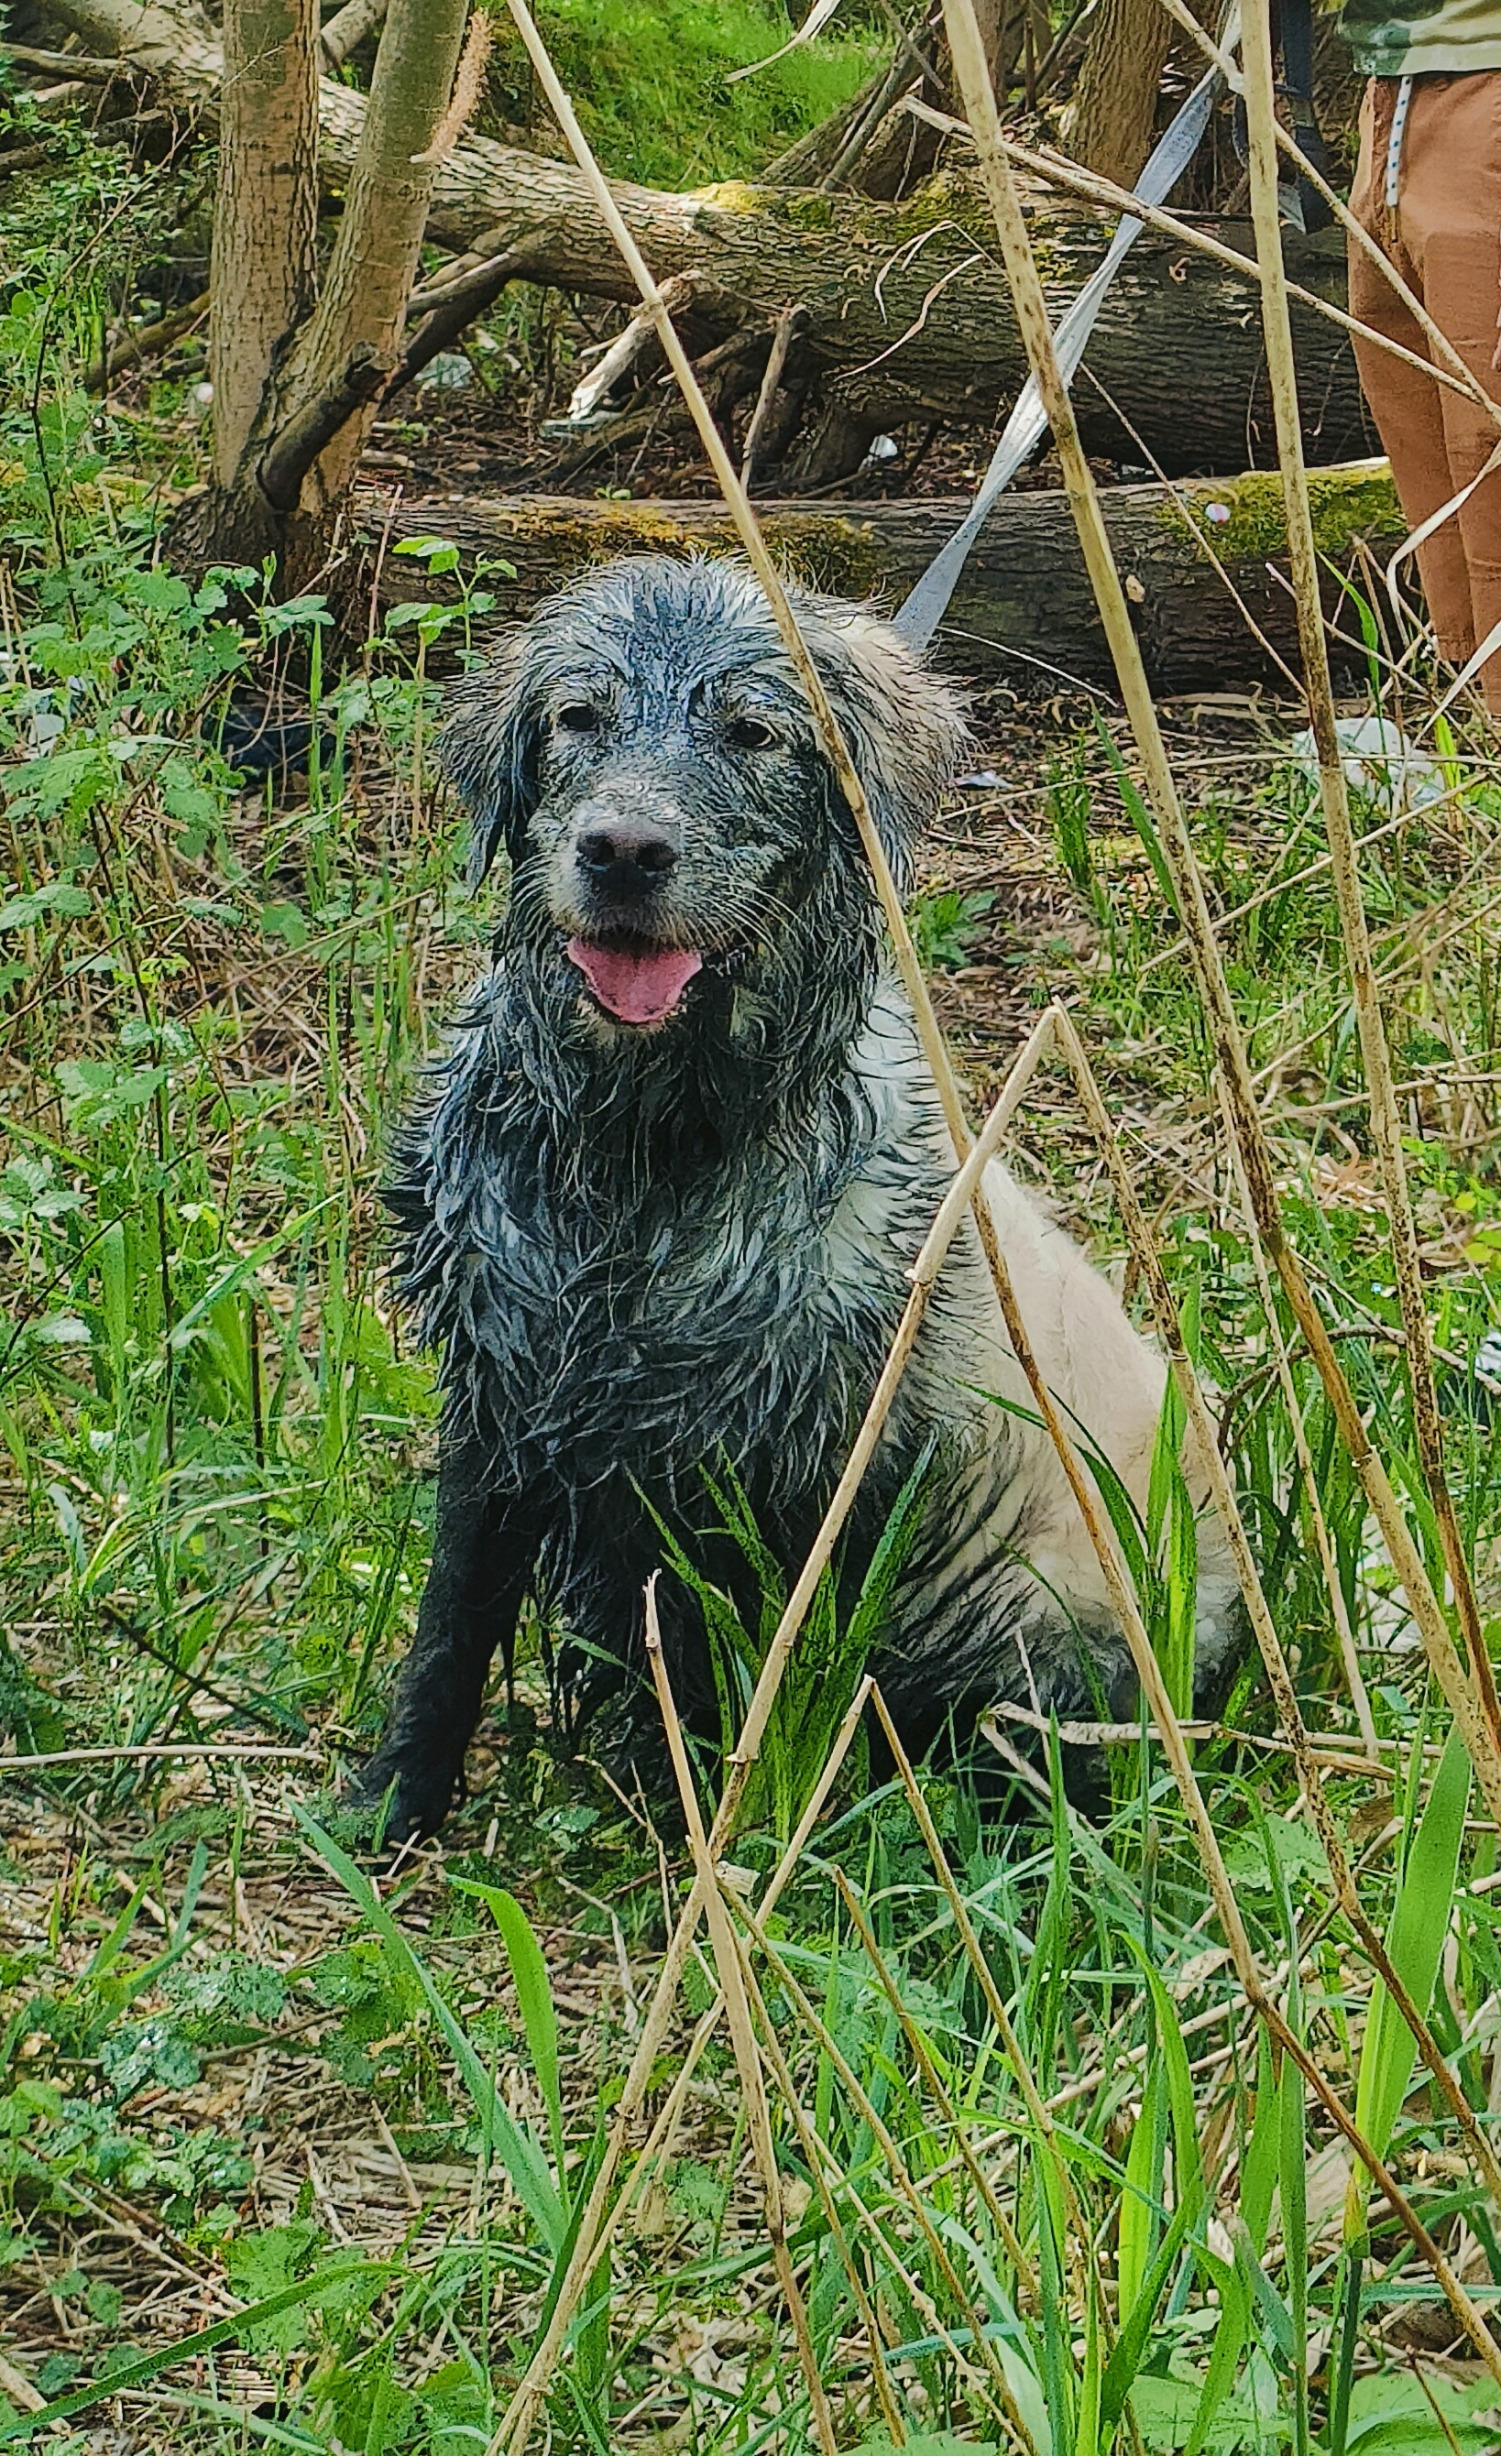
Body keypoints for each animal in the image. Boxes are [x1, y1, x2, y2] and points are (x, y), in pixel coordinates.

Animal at [356, 552, 1243, 1827]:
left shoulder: (805, 1479)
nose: (622, 851)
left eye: (752, 731)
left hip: (1040, 1622)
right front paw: (390, 1802)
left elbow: (758, 1685)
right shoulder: (500, 1392)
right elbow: (450, 1628)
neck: (646, 1157)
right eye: (578, 717)